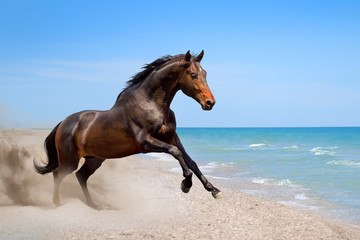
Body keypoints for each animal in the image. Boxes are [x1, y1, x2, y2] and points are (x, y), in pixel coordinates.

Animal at [35, 50, 222, 208]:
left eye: (205, 73)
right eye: (193, 74)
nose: (210, 103)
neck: (149, 103)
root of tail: (63, 123)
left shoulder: (172, 137)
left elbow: (191, 162)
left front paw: (214, 190)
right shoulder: (145, 143)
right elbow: (175, 152)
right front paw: (186, 185)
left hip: (94, 159)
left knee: (81, 176)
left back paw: (93, 205)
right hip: (70, 161)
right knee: (58, 174)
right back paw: (57, 203)